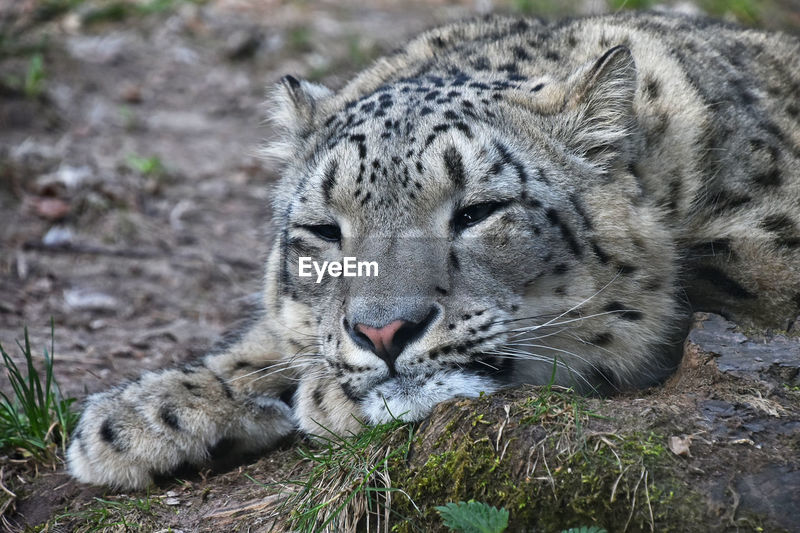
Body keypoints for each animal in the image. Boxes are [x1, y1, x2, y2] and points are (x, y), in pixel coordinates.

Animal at [67, 10, 800, 488]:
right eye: (326, 229)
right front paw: (140, 418)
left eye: (477, 211)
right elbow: (274, 335)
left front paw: (321, 398)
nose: (383, 332)